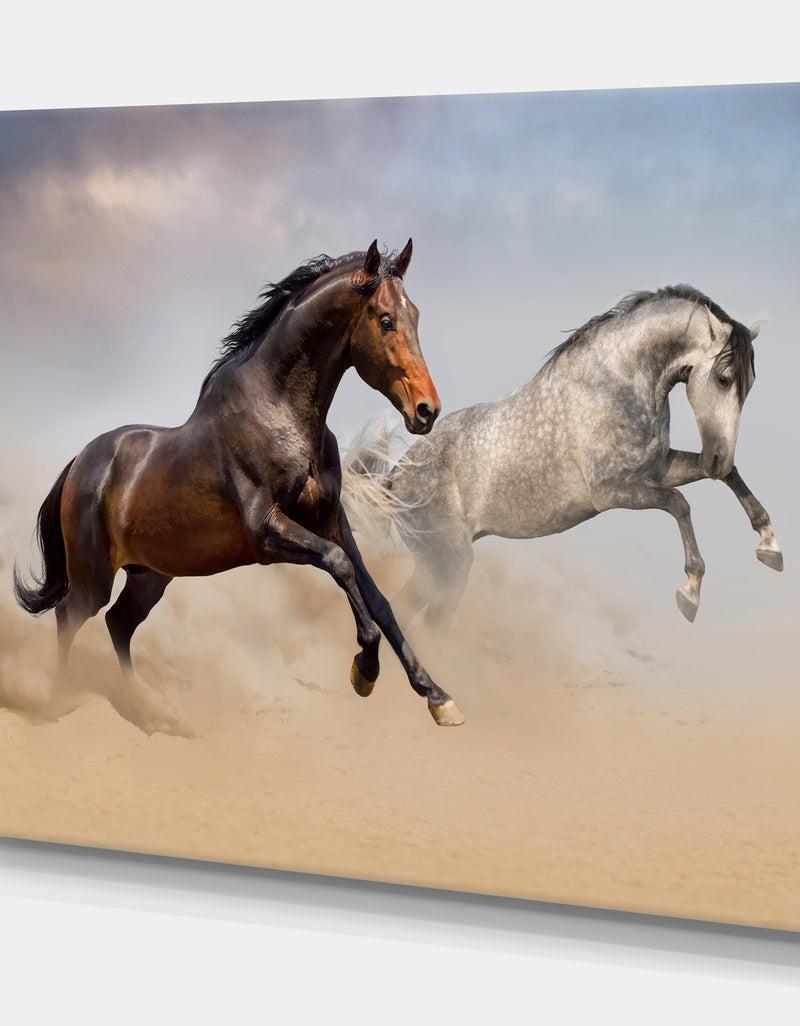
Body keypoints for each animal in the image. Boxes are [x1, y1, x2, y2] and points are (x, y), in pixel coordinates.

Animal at [13, 241, 466, 732]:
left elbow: (378, 598)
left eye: (415, 315)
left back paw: (152, 714)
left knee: (119, 623)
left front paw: (438, 697)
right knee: (69, 617)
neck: (280, 413)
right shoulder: (266, 533)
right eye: (385, 319)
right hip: (92, 576)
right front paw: (364, 669)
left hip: (150, 576)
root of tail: (81, 461)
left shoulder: (331, 521)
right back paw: (59, 701)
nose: (427, 410)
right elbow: (339, 565)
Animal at [343, 284, 782, 628]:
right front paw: (690, 592)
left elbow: (728, 480)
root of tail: (395, 478)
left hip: (434, 564)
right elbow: (680, 504)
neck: (619, 382)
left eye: (749, 385)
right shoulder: (614, 490)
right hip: (449, 563)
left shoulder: (656, 469)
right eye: (723, 378)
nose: (717, 456)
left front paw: (770, 547)